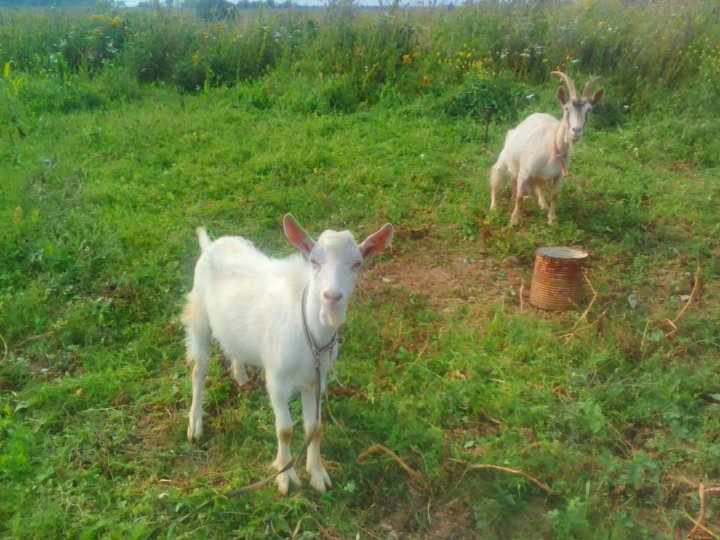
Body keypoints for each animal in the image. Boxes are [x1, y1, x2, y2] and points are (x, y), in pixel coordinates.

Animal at [183, 214, 394, 494]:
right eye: (314, 261)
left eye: (357, 264)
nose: (332, 296)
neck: (312, 338)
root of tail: (211, 245)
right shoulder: (277, 378)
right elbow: (284, 430)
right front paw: (285, 477)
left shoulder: (316, 380)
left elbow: (314, 427)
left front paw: (317, 474)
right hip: (199, 315)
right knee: (198, 369)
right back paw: (195, 425)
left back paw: (241, 376)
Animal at [489, 71, 604, 224]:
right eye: (566, 108)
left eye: (589, 110)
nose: (576, 131)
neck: (553, 147)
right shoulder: (524, 171)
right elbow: (519, 197)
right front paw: (514, 219)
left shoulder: (559, 174)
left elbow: (554, 195)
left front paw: (551, 219)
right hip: (505, 159)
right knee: (497, 178)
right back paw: (493, 206)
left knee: (534, 184)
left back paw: (542, 203)